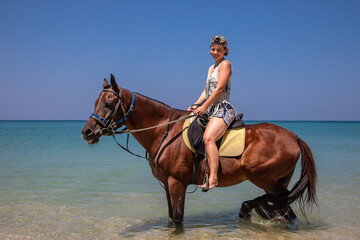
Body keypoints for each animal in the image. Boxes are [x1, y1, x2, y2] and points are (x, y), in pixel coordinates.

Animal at [81, 74, 318, 225]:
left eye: (109, 104)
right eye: (95, 102)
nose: (87, 132)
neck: (165, 131)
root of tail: (293, 136)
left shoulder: (176, 183)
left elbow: (177, 220)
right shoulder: (167, 185)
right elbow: (172, 218)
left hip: (262, 176)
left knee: (282, 201)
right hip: (276, 180)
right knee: (284, 207)